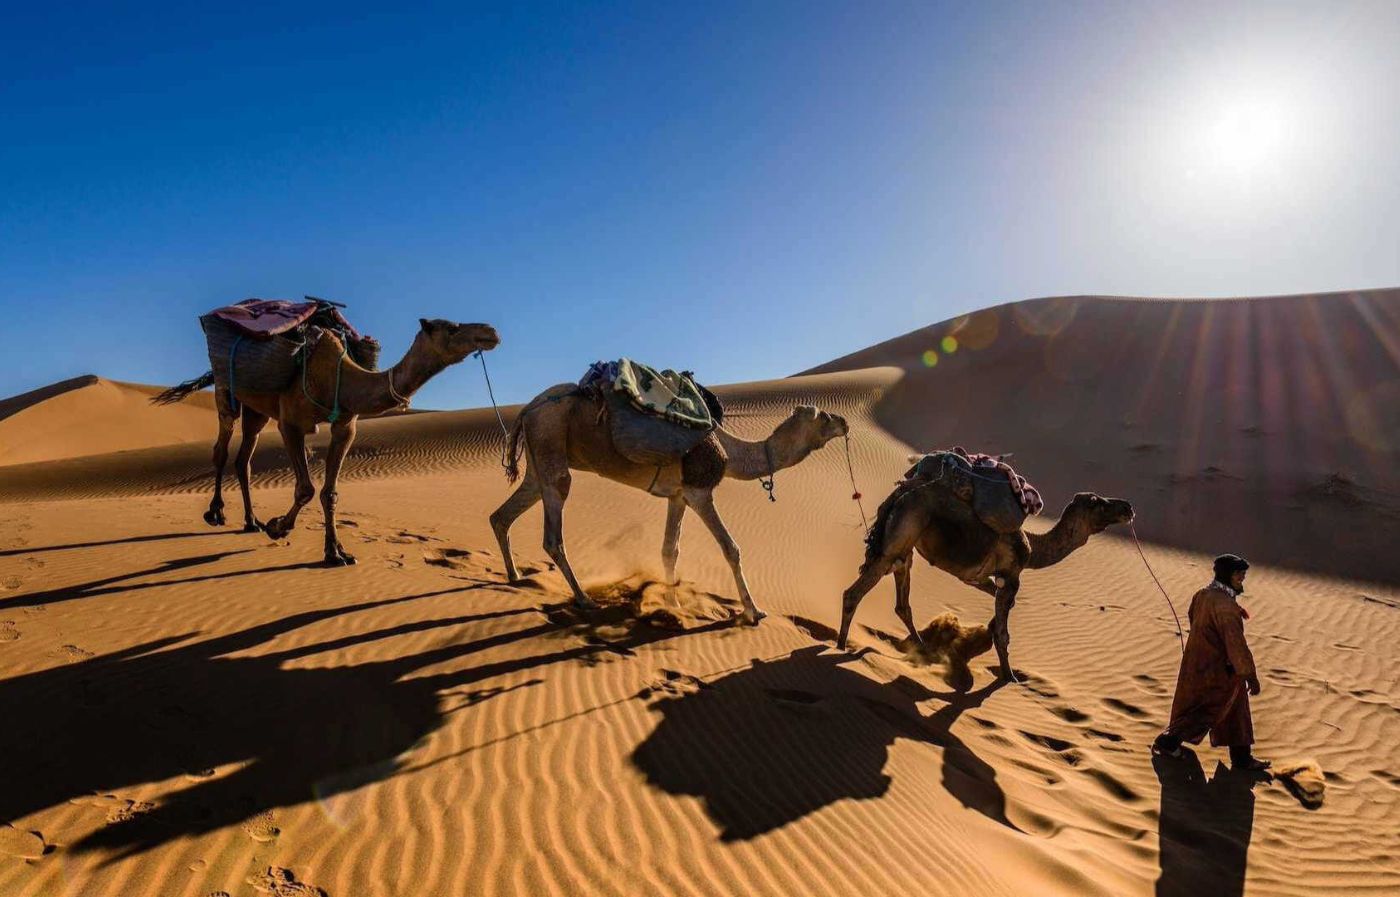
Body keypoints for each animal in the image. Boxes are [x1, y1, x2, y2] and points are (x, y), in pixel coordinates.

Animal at [155, 319, 499, 565]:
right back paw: (216, 513)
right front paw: (278, 527)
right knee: (221, 449)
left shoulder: (345, 426)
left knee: (244, 459)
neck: (340, 377)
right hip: (226, 390)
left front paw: (335, 552)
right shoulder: (290, 422)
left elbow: (330, 492)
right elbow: (305, 488)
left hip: (257, 410)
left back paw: (251, 522)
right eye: (452, 327)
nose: (491, 331)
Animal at [490, 384, 849, 623]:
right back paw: (583, 599)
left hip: (538, 460)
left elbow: (669, 550)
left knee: (503, 514)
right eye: (822, 416)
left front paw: (673, 604)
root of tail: (527, 410)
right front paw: (753, 611)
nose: (844, 422)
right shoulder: (699, 491)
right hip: (550, 439)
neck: (730, 451)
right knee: (553, 529)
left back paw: (515, 576)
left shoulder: (678, 495)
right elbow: (731, 548)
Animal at [837, 467, 1133, 680]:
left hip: (905, 547)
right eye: (1096, 502)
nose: (1127, 507)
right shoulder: (1011, 576)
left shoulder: (978, 577)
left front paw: (986, 633)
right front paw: (1009, 677)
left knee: (902, 600)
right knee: (854, 593)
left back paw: (922, 647)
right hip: (899, 538)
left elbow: (997, 600)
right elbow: (1004, 633)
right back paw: (840, 646)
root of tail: (900, 494)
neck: (1033, 548)